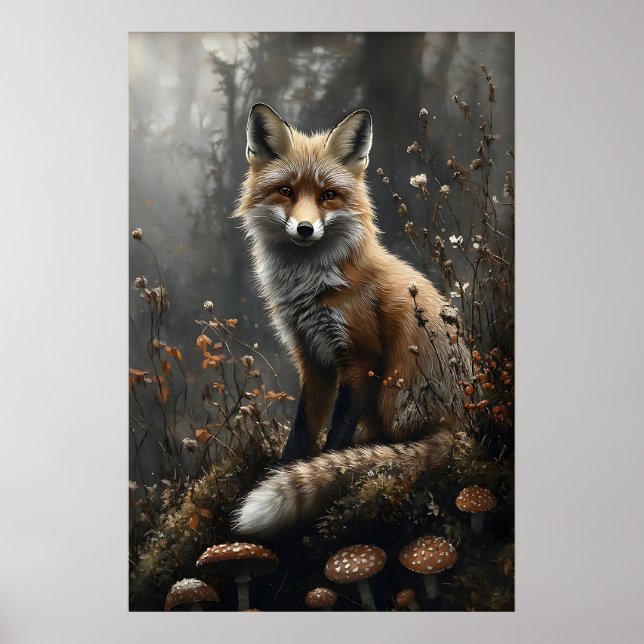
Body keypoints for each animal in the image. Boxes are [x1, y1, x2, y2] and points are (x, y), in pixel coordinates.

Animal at [231, 103, 471, 537]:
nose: (305, 228)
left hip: (394, 393)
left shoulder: (360, 357)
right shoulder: (312, 357)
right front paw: (286, 468)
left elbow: (336, 434)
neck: (311, 285)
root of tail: (459, 422)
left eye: (327, 195)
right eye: (286, 191)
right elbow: (304, 428)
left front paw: (326, 477)